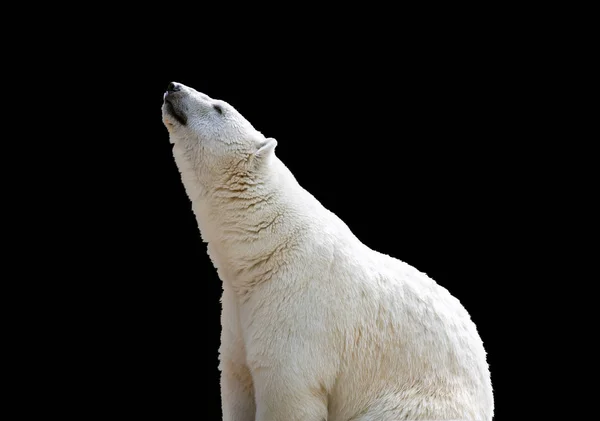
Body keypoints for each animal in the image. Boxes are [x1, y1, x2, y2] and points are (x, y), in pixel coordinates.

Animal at [162, 82, 494, 420]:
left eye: (218, 107)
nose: (174, 87)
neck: (267, 248)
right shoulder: (237, 314)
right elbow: (237, 382)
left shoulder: (297, 306)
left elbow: (286, 391)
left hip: (416, 403)